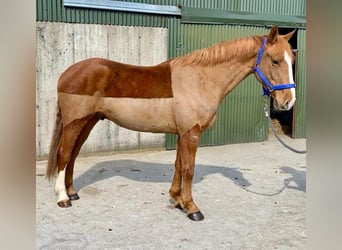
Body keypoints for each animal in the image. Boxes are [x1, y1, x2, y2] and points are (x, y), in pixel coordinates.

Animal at [46, 25, 296, 221]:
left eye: (292, 61)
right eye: (275, 61)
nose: (288, 102)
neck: (201, 79)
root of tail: (67, 73)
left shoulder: (181, 133)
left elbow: (178, 165)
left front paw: (177, 199)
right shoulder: (191, 133)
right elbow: (188, 169)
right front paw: (192, 208)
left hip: (88, 122)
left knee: (73, 155)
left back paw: (72, 192)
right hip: (74, 122)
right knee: (64, 155)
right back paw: (63, 198)